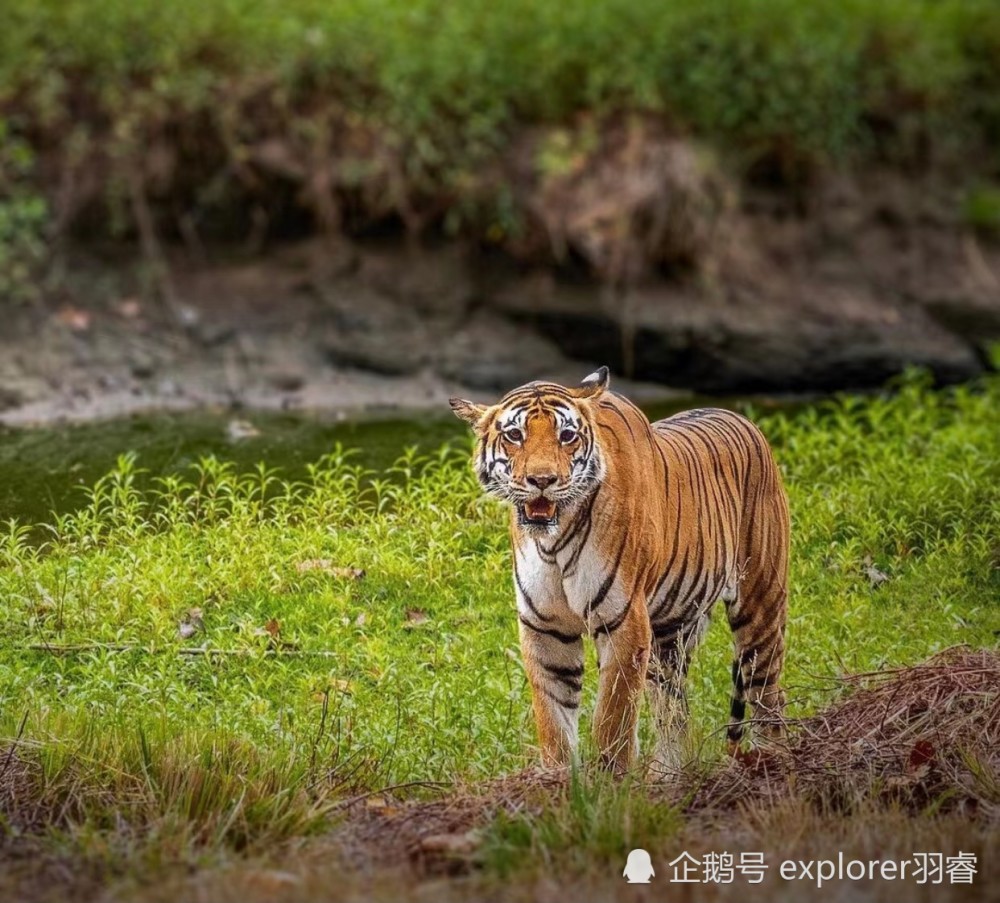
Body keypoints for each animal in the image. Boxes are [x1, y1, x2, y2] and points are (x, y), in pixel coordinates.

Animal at [452, 368, 788, 776]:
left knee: (767, 692)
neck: (553, 541)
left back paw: (773, 760)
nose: (542, 480)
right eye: (515, 435)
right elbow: (553, 717)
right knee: (674, 710)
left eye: (567, 436)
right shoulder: (545, 627)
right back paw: (669, 773)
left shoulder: (623, 621)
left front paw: (612, 779)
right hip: (670, 637)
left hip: (759, 606)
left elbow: (613, 715)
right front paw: (559, 777)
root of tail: (743, 418)